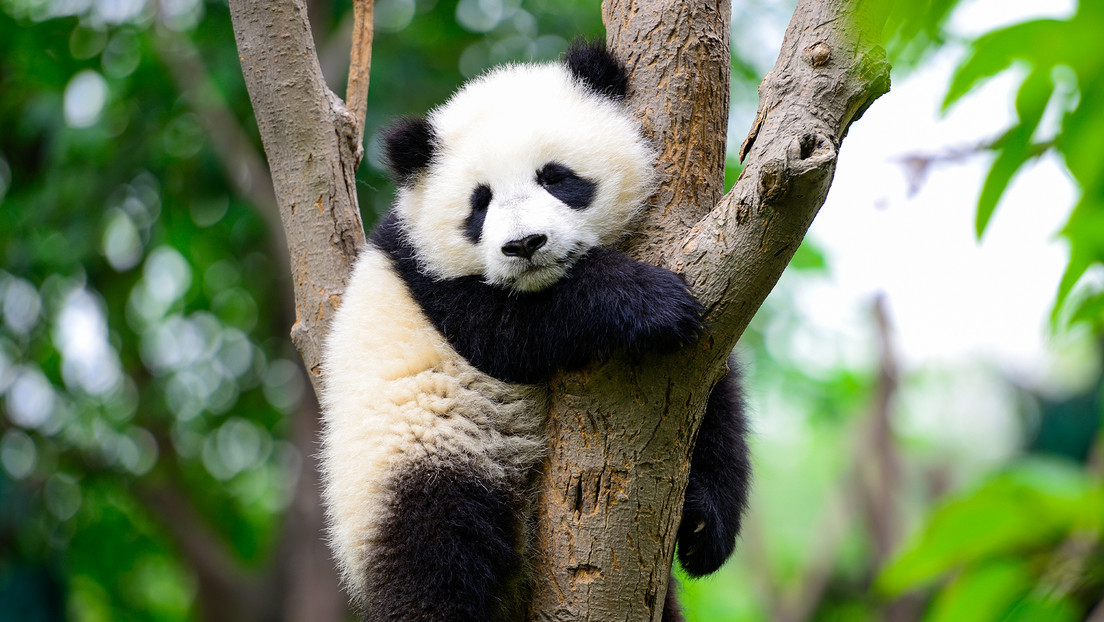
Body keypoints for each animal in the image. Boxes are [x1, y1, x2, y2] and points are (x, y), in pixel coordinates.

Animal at [319, 41, 751, 622]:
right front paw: (651, 302)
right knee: (436, 557)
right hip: (412, 460)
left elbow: (712, 396)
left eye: (555, 177)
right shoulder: (430, 280)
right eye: (479, 202)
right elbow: (509, 334)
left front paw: (705, 527)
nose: (525, 244)